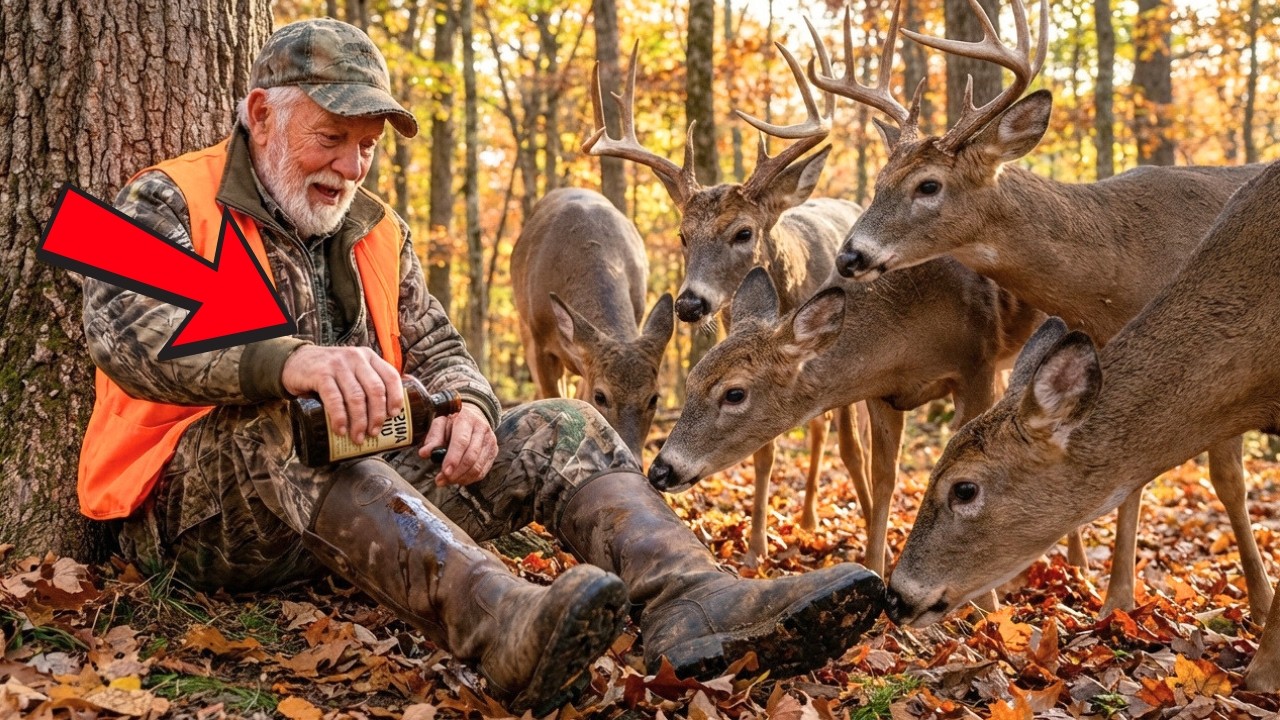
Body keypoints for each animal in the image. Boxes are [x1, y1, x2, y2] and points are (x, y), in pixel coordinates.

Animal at [583, 40, 870, 560]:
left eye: (743, 232)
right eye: (682, 235)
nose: (689, 305)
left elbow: (853, 449)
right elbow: (763, 449)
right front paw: (756, 547)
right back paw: (807, 517)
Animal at [649, 263, 1043, 579]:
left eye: (734, 393)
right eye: (690, 381)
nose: (660, 470)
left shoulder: (979, 363)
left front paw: (981, 604)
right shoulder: (884, 393)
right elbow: (883, 476)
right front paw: (875, 573)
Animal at [809, 0, 1273, 620]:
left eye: (928, 185)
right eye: (882, 181)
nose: (850, 255)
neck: (1120, 266)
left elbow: (1224, 480)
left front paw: (1256, 602)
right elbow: (1129, 476)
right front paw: (1115, 599)